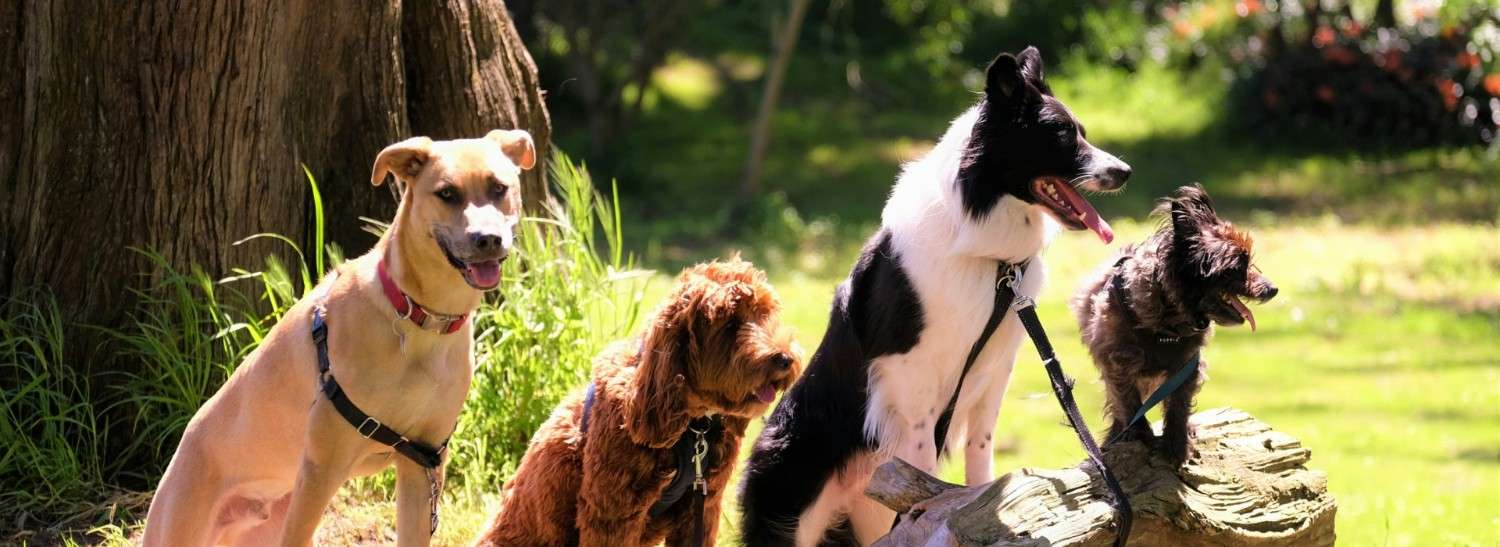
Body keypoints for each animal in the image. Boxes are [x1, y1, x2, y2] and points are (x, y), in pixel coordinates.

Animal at [141, 130, 536, 547]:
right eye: (447, 193)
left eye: (499, 188)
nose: (487, 239)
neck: (419, 318)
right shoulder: (322, 466)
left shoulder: (424, 463)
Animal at [474, 258, 801, 547]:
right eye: (730, 324)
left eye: (766, 314)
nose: (785, 359)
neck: (692, 426)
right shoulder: (613, 512)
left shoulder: (703, 506)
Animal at [738, 46, 1131, 546]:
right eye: (1061, 135)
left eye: (1082, 131)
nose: (1124, 172)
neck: (987, 256)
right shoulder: (909, 371)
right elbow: (922, 457)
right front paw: (928, 501)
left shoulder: (995, 366)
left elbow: (981, 448)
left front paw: (985, 505)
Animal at [1071, 184, 1277, 465]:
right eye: (1237, 266)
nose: (1272, 289)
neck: (1167, 324)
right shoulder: (1119, 362)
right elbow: (1129, 401)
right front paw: (1139, 435)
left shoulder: (1186, 366)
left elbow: (1179, 405)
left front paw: (1176, 444)